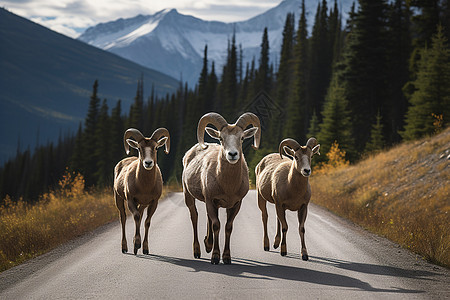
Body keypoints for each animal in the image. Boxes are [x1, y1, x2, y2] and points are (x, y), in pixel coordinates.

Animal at [182, 112, 260, 264]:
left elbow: (228, 227)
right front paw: (215, 257)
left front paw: (227, 257)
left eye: (242, 138)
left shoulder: (235, 204)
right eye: (221, 138)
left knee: (207, 218)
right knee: (194, 217)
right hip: (189, 195)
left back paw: (208, 244)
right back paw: (197, 251)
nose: (232, 154)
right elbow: (216, 225)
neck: (228, 186)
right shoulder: (211, 200)